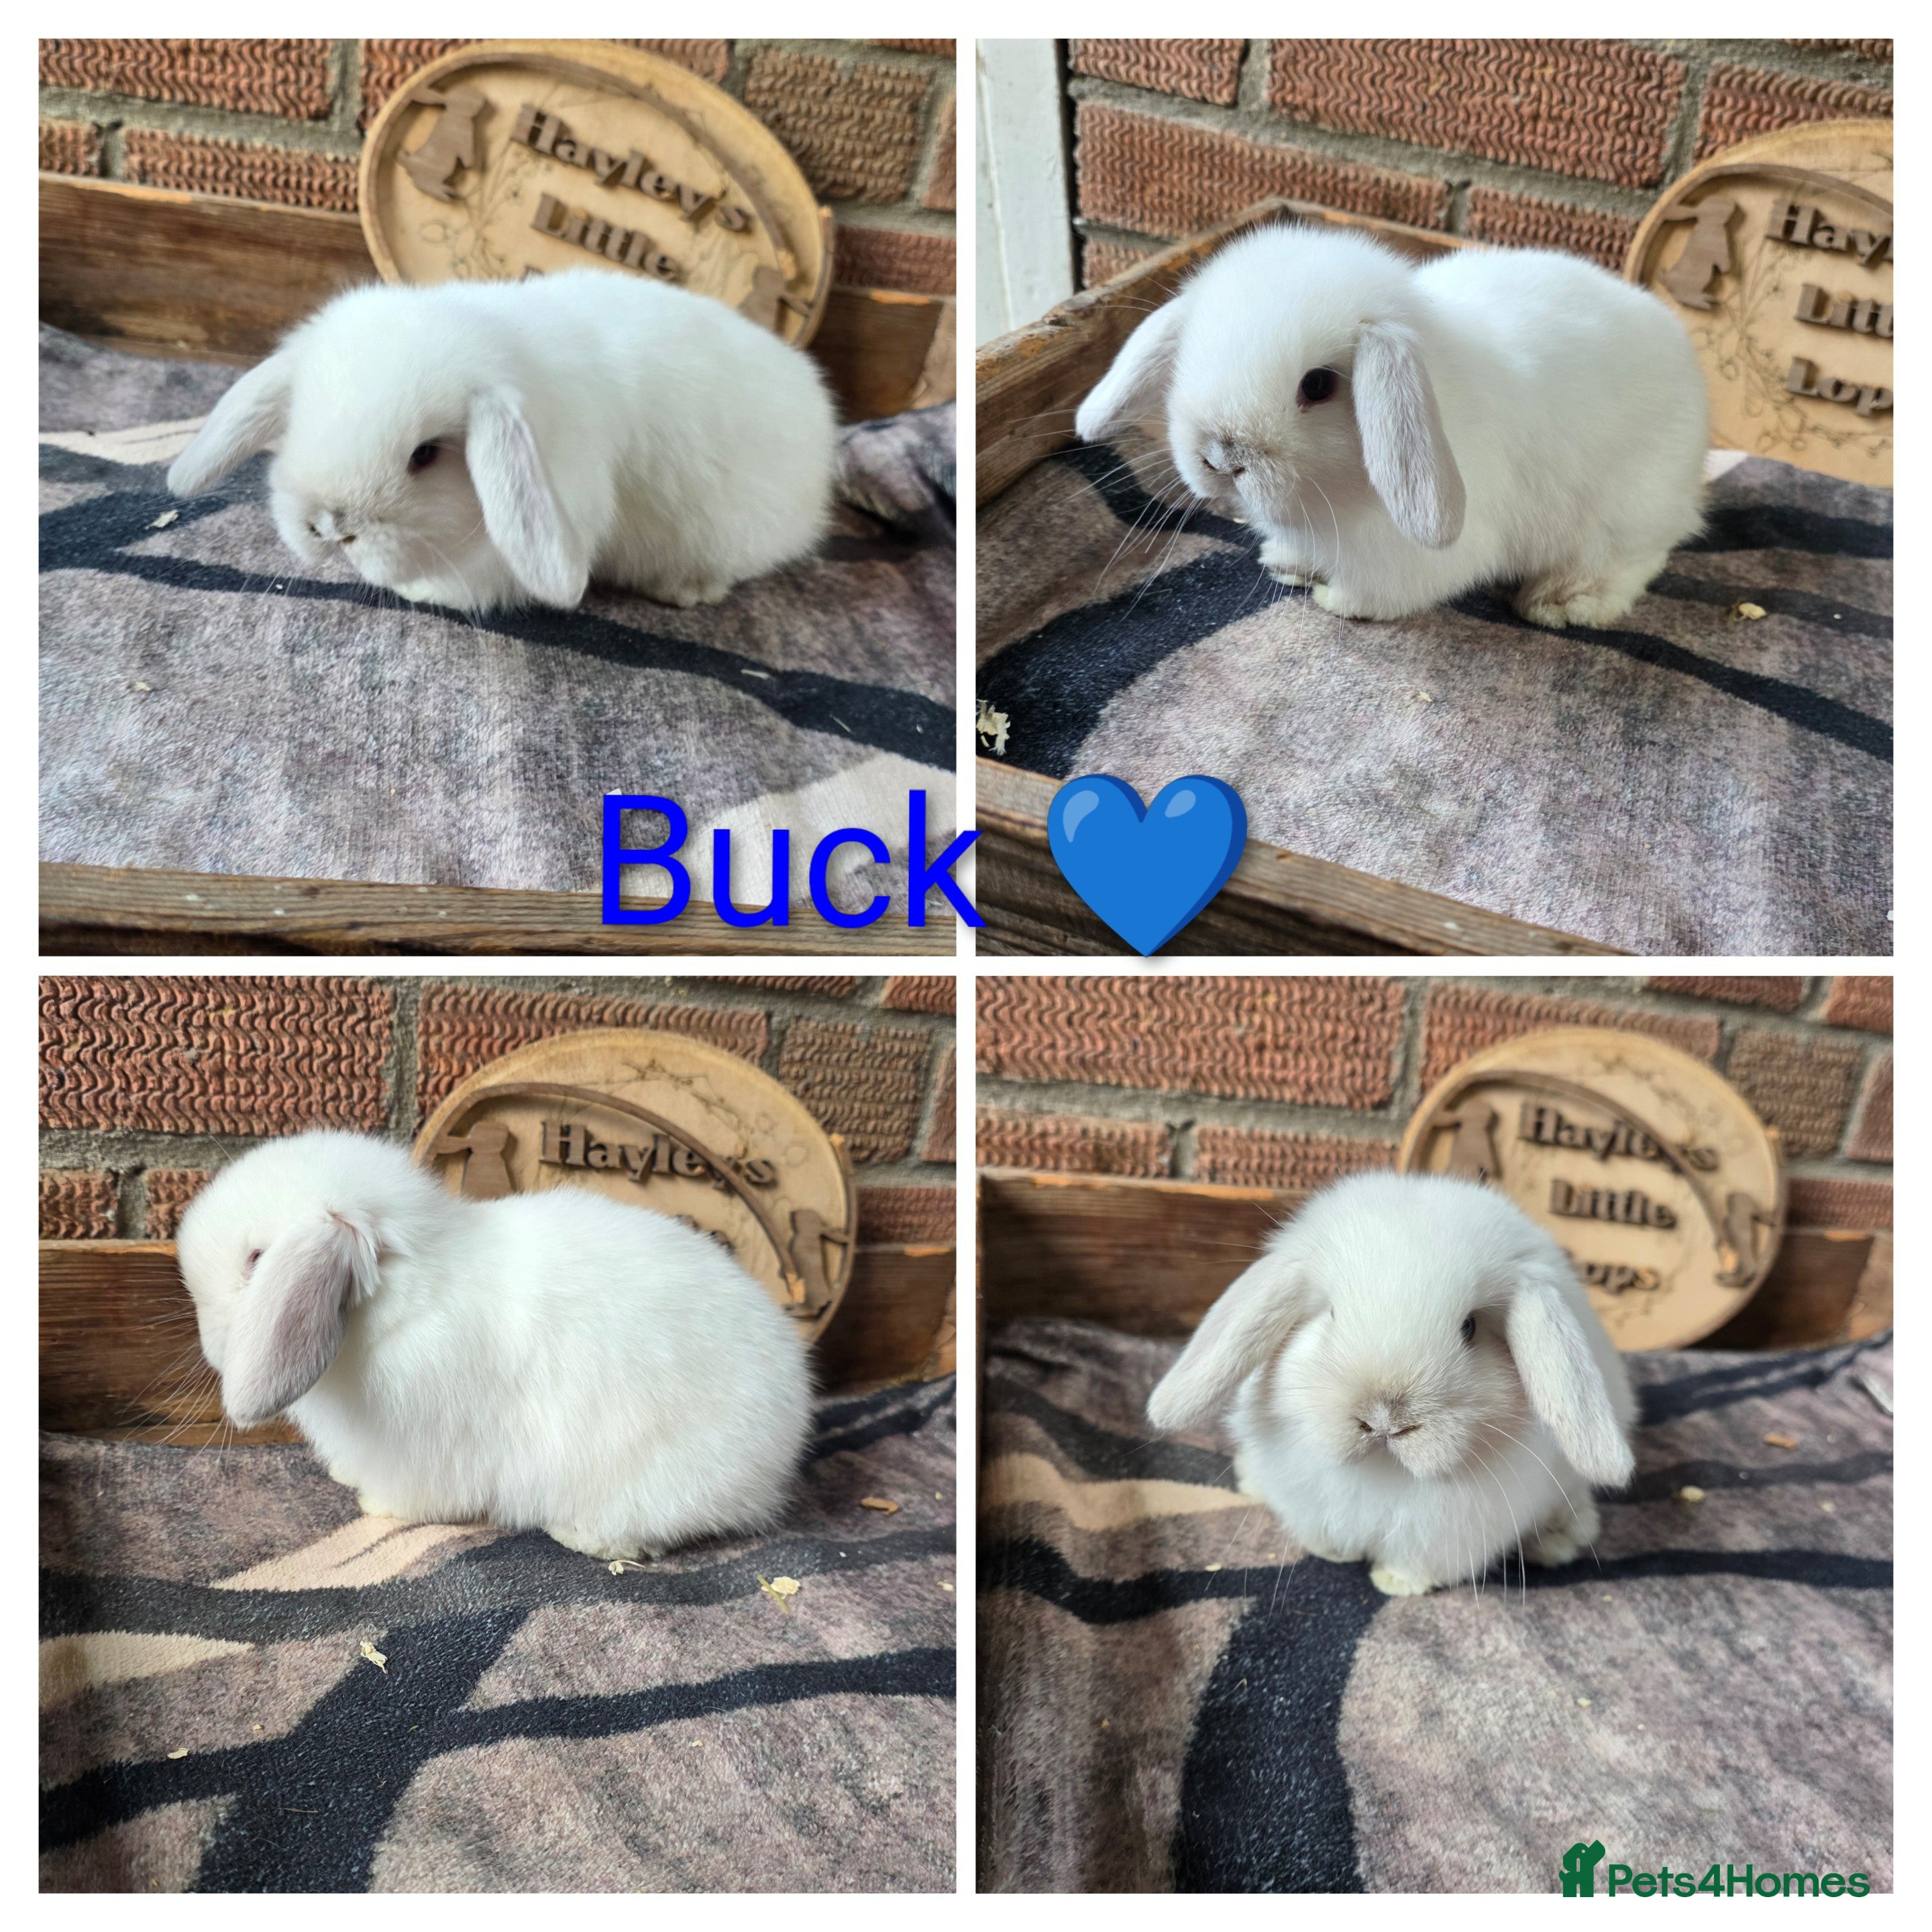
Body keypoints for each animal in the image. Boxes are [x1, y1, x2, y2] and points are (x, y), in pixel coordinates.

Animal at [174, 1130, 813, 1559]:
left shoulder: (426, 1452)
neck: (406, 1296)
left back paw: (580, 1537)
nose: (207, 1346)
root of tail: (782, 1447)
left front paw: (374, 1506)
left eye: (257, 1260)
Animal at [1074, 223, 1708, 629]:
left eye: (1318, 385)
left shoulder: (1412, 556)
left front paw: (1334, 599)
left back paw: (1561, 603)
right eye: (1190, 355)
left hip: (1625, 516)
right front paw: (1284, 564)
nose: (1221, 459)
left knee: (1634, 561)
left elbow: (1382, 593)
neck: (1334, 497)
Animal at [1147, 1170, 1637, 1597]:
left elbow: (1418, 1564)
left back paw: (1558, 1540)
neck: (1384, 1473)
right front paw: (1334, 1553)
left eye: (1470, 1328)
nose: (1384, 1420)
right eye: (1332, 1314)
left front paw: (1396, 1584)